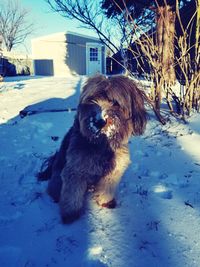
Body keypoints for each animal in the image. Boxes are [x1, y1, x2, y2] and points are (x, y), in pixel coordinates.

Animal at [38, 75, 147, 224]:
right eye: (92, 99)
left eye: (115, 102)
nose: (99, 121)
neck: (102, 144)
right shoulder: (75, 171)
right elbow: (72, 194)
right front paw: (70, 214)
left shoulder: (113, 171)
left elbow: (107, 188)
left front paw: (106, 202)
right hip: (57, 178)